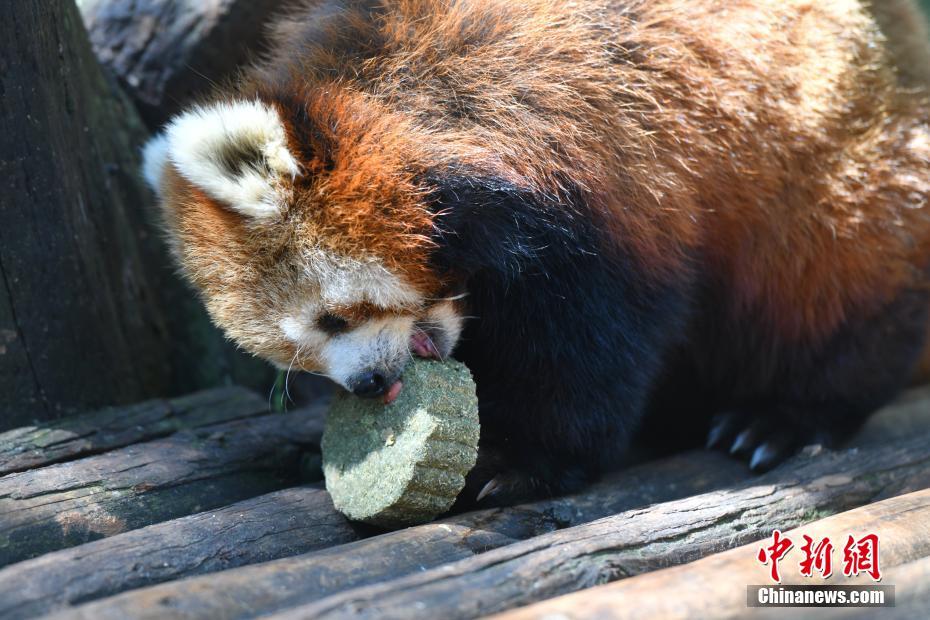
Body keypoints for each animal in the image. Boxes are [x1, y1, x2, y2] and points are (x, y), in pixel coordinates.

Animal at [141, 1, 928, 504]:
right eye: (298, 355)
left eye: (333, 318)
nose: (368, 385)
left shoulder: (606, 190)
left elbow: (587, 349)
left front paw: (522, 464)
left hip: (835, 183)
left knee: (831, 286)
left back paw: (783, 415)